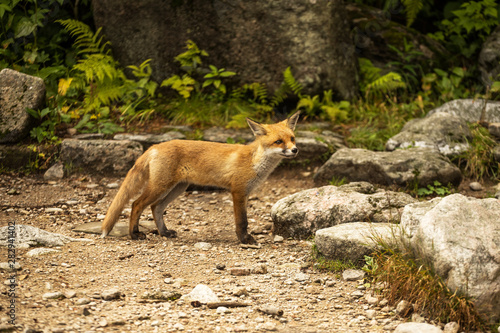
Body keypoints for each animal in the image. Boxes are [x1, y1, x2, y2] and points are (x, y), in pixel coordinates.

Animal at [99, 111, 298, 244]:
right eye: (278, 142)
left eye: (292, 139)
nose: (295, 150)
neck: (254, 161)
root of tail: (155, 146)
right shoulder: (238, 191)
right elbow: (242, 221)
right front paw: (244, 240)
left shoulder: (246, 193)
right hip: (160, 187)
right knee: (136, 204)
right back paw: (134, 234)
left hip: (177, 188)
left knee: (156, 207)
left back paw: (164, 232)